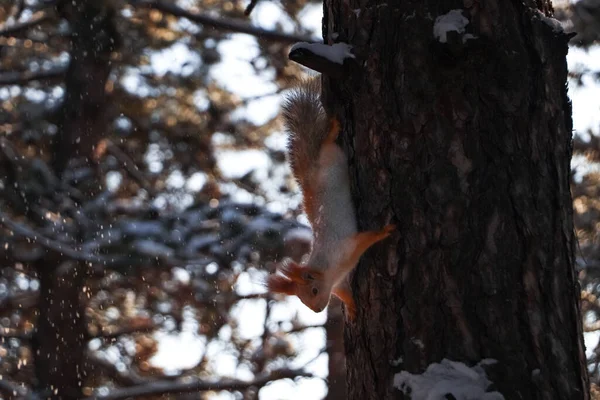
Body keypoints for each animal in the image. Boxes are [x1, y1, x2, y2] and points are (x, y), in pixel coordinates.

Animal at [268, 78, 394, 320]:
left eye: (314, 290)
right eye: (302, 301)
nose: (317, 310)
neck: (328, 270)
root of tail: (311, 174)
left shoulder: (345, 247)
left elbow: (366, 239)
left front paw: (384, 231)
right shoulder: (338, 283)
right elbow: (344, 293)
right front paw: (352, 308)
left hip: (331, 157)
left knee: (326, 143)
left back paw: (333, 129)